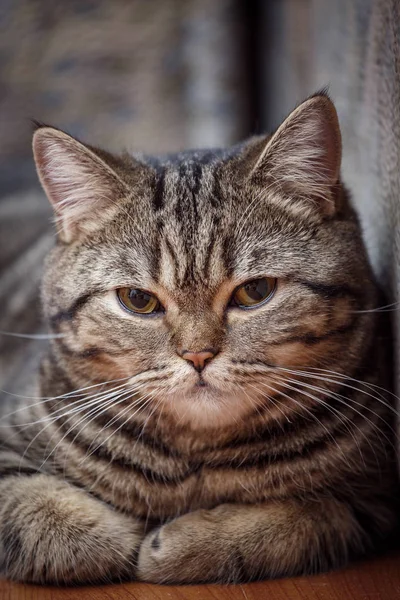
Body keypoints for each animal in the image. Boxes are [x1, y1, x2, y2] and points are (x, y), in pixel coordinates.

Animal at [0, 91, 398, 584]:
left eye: (255, 292)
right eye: (138, 300)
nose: (198, 355)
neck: (195, 462)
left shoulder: (373, 496)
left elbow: (300, 519)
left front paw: (181, 544)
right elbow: (46, 520)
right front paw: (120, 535)